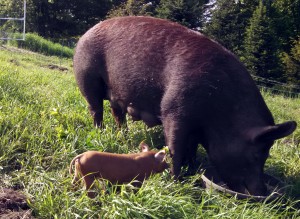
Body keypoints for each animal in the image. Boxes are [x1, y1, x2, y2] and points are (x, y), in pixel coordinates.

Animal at [73, 16, 298, 195]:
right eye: (258, 153)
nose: (262, 191)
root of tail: (86, 33)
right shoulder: (174, 112)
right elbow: (175, 149)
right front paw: (175, 180)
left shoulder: (195, 130)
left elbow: (191, 150)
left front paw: (192, 170)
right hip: (88, 79)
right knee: (96, 110)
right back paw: (100, 131)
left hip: (116, 96)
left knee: (117, 115)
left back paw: (123, 137)